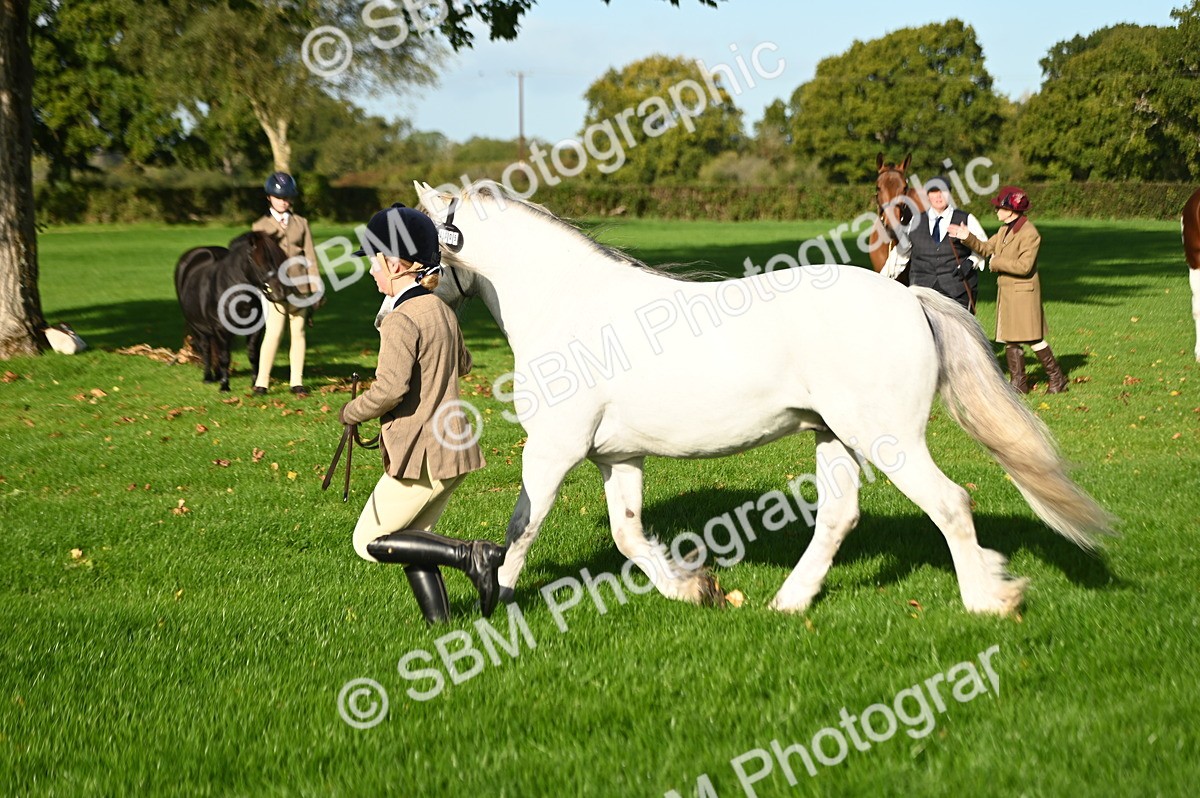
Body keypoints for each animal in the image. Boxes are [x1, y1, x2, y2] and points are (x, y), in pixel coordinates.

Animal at [174, 231, 288, 391]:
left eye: (279, 258)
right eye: (257, 260)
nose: (279, 292)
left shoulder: (255, 330)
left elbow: (253, 355)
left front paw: (255, 383)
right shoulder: (221, 329)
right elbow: (224, 357)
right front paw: (224, 386)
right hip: (197, 327)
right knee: (206, 349)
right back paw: (208, 377)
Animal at [419, 179, 1114, 616]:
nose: (397, 299)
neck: (570, 306)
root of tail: (908, 298)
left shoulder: (552, 451)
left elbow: (522, 528)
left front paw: (493, 608)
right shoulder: (617, 457)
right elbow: (627, 534)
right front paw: (692, 590)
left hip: (887, 440)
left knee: (950, 504)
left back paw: (987, 601)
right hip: (834, 436)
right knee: (839, 516)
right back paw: (788, 601)